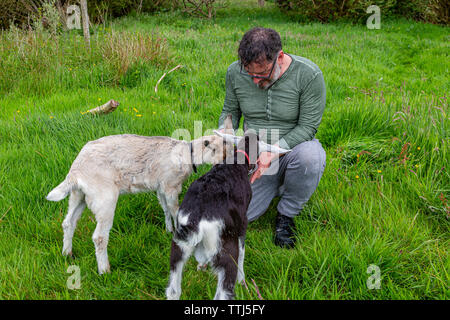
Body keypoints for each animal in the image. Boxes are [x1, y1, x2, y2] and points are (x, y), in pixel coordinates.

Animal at [167, 128, 290, 300]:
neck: (236, 163)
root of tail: (197, 220)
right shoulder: (242, 224)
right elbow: (243, 253)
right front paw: (242, 280)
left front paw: (201, 265)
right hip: (226, 252)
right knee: (224, 291)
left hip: (178, 248)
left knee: (173, 291)